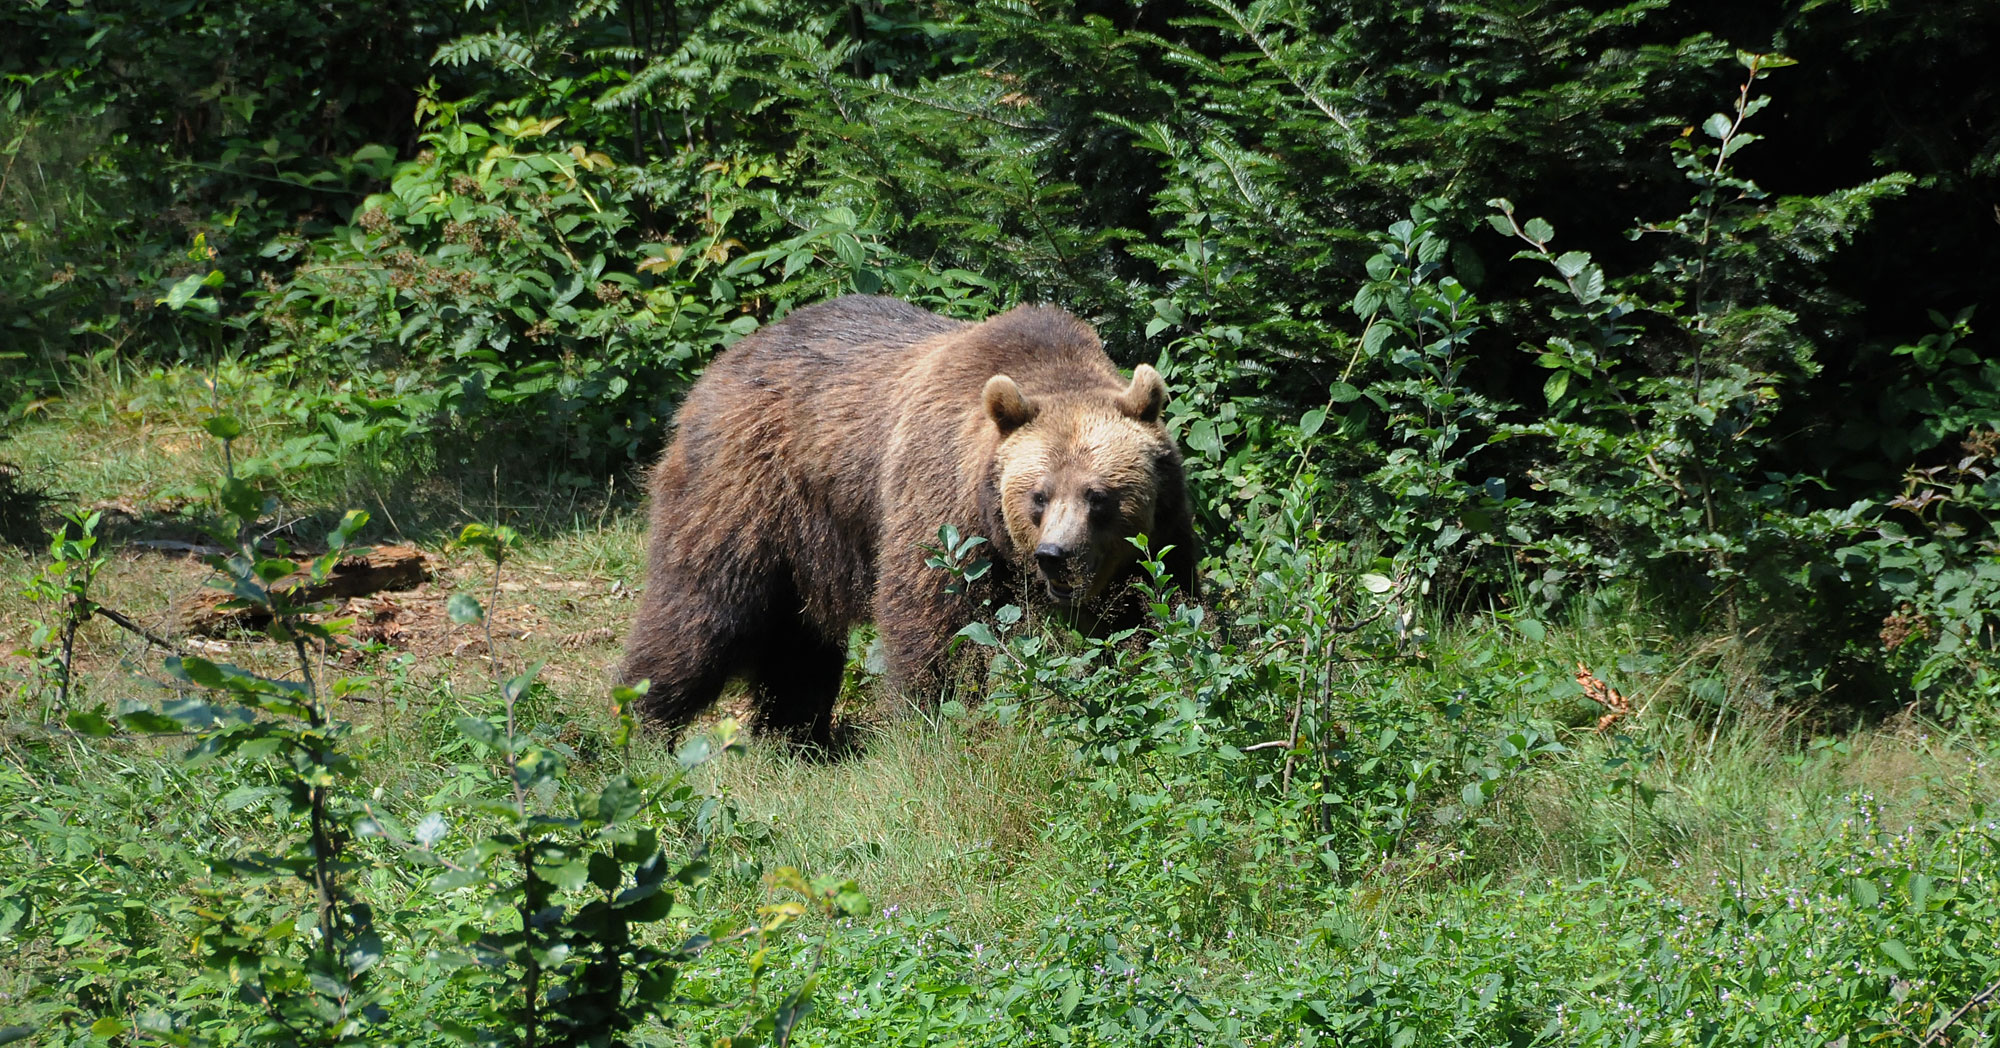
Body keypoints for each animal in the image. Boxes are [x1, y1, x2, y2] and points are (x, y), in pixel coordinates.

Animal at [616, 294, 1192, 744]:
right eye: (1039, 495)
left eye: (1099, 496)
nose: (1056, 557)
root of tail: (723, 362)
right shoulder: (941, 502)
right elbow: (932, 621)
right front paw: (933, 719)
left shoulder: (1159, 533)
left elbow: (1153, 612)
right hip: (745, 488)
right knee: (701, 608)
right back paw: (644, 724)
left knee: (797, 642)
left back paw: (794, 737)